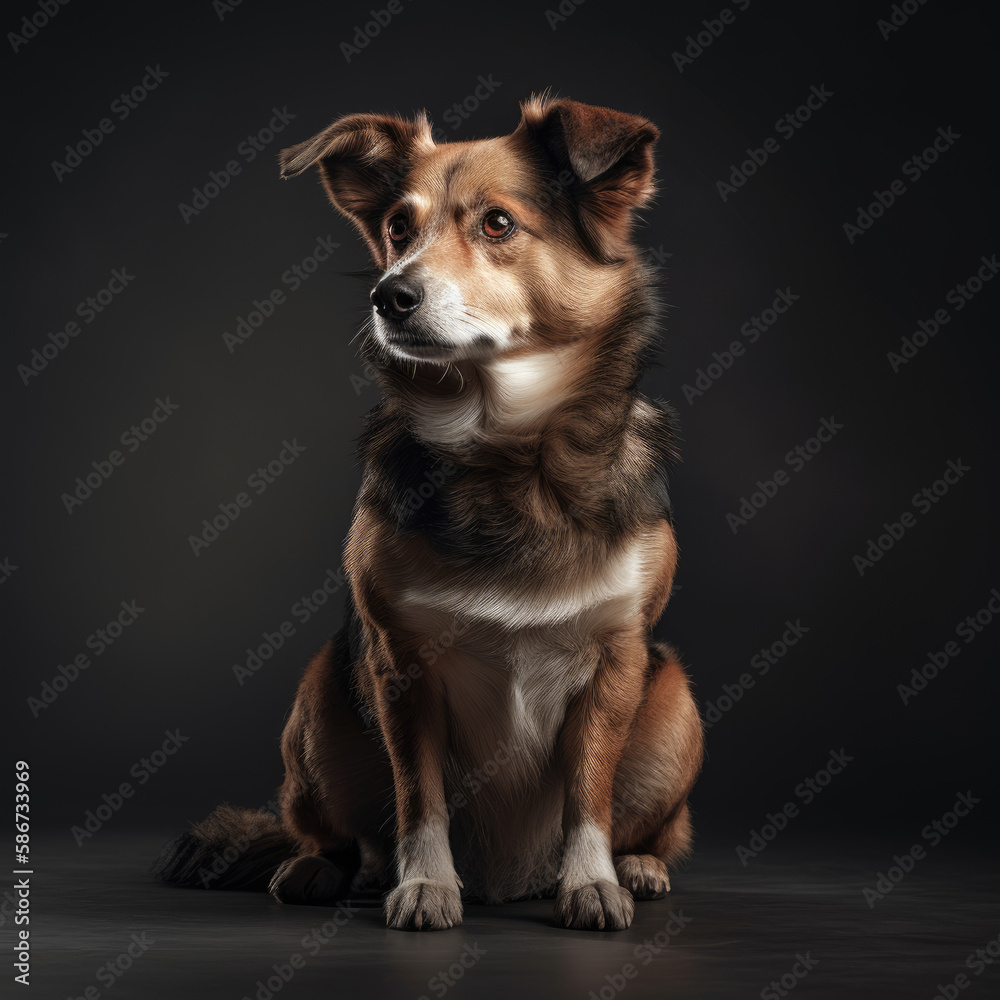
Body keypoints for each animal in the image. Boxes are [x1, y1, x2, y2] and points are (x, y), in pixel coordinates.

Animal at [156, 97, 704, 932]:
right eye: (397, 229)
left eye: (499, 224)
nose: (390, 295)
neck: (505, 453)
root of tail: (508, 881)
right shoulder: (402, 664)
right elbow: (420, 794)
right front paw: (424, 886)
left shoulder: (618, 659)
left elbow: (590, 793)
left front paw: (593, 882)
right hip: (319, 701)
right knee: (333, 834)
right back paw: (319, 870)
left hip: (674, 702)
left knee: (656, 824)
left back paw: (638, 865)